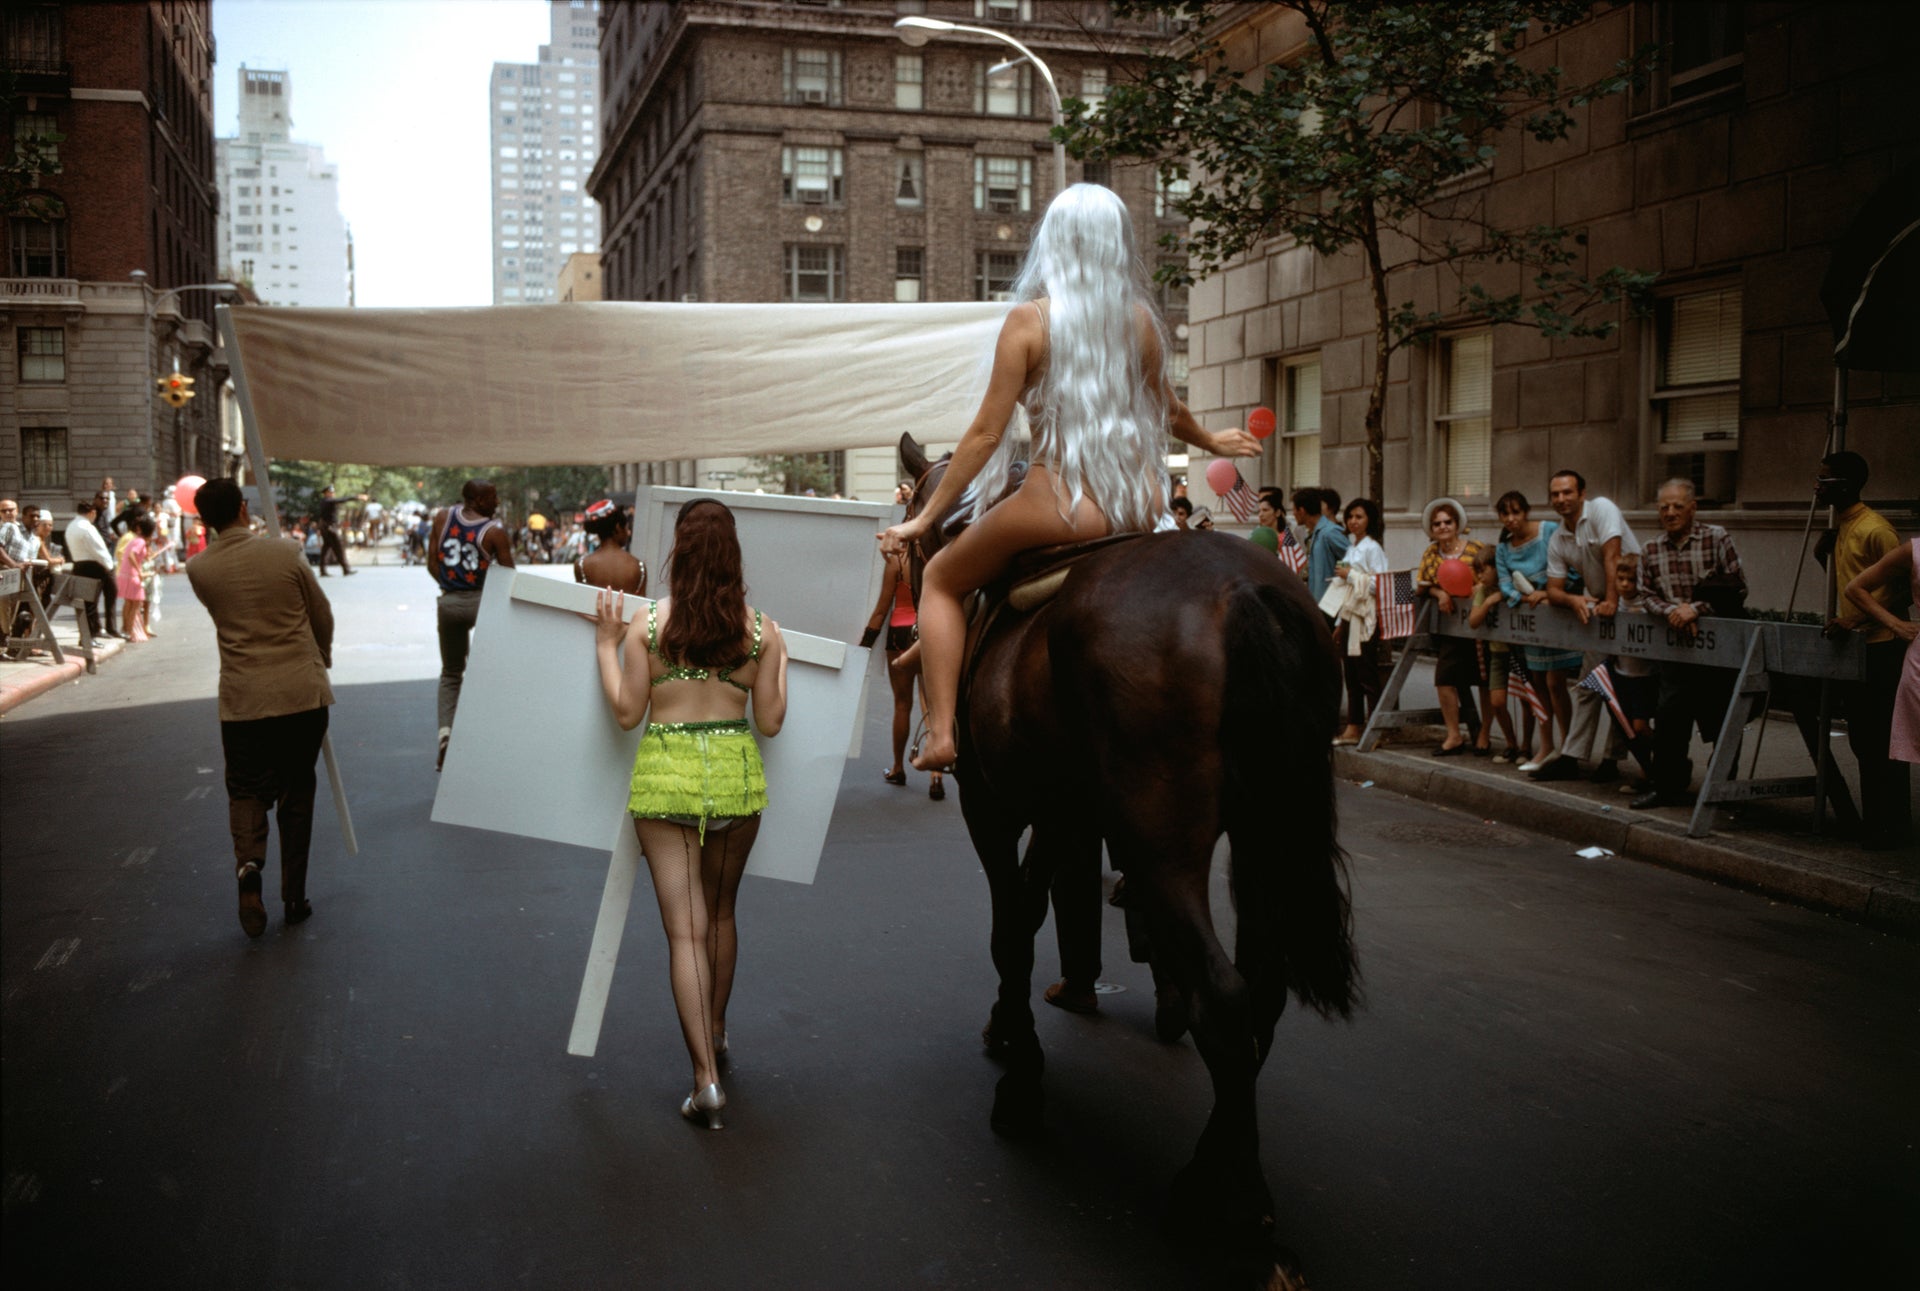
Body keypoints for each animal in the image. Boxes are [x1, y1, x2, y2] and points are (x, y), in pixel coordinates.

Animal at [902, 438, 1367, 1283]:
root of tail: (1246, 592)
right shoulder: (1066, 812)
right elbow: (1030, 910)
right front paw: (1010, 1033)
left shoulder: (991, 804)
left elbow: (1009, 930)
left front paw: (1021, 1082)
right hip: (1262, 834)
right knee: (1261, 993)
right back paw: (1208, 1175)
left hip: (1162, 841)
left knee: (1224, 997)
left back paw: (1241, 1214)